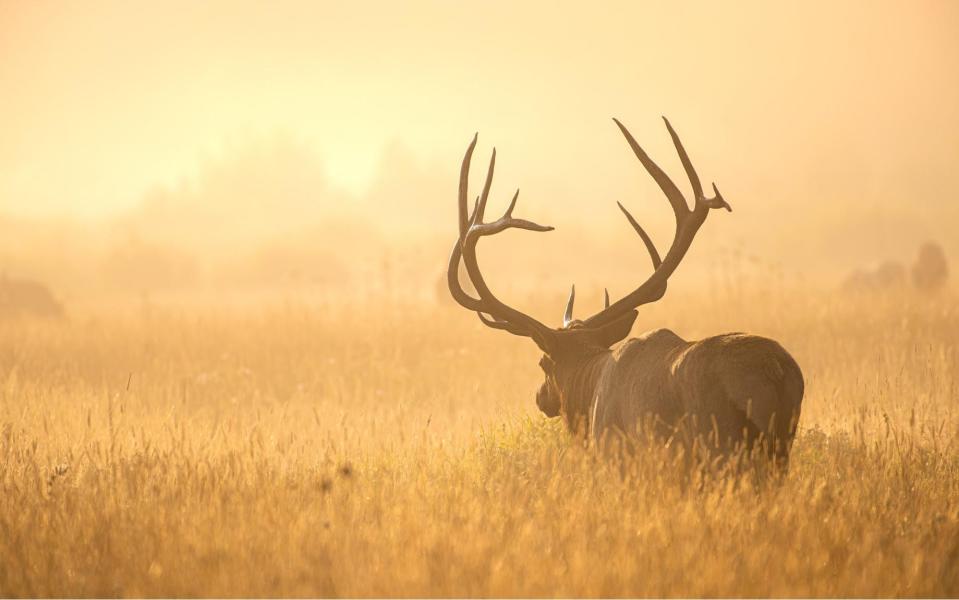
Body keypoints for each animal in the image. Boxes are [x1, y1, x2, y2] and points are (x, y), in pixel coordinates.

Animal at [448, 116, 804, 464]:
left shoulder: (615, 449)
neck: (590, 389)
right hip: (781, 446)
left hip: (721, 443)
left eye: (543, 363)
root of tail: (776, 373)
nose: (540, 397)